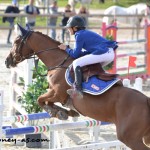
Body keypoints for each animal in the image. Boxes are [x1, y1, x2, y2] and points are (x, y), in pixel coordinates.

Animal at [4, 24, 150, 149]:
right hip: (144, 137)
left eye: (16, 42)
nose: (7, 61)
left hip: (130, 138)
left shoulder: (57, 93)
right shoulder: (56, 94)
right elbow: (48, 102)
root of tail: (146, 101)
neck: (58, 62)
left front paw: (56, 112)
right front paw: (64, 112)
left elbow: (40, 99)